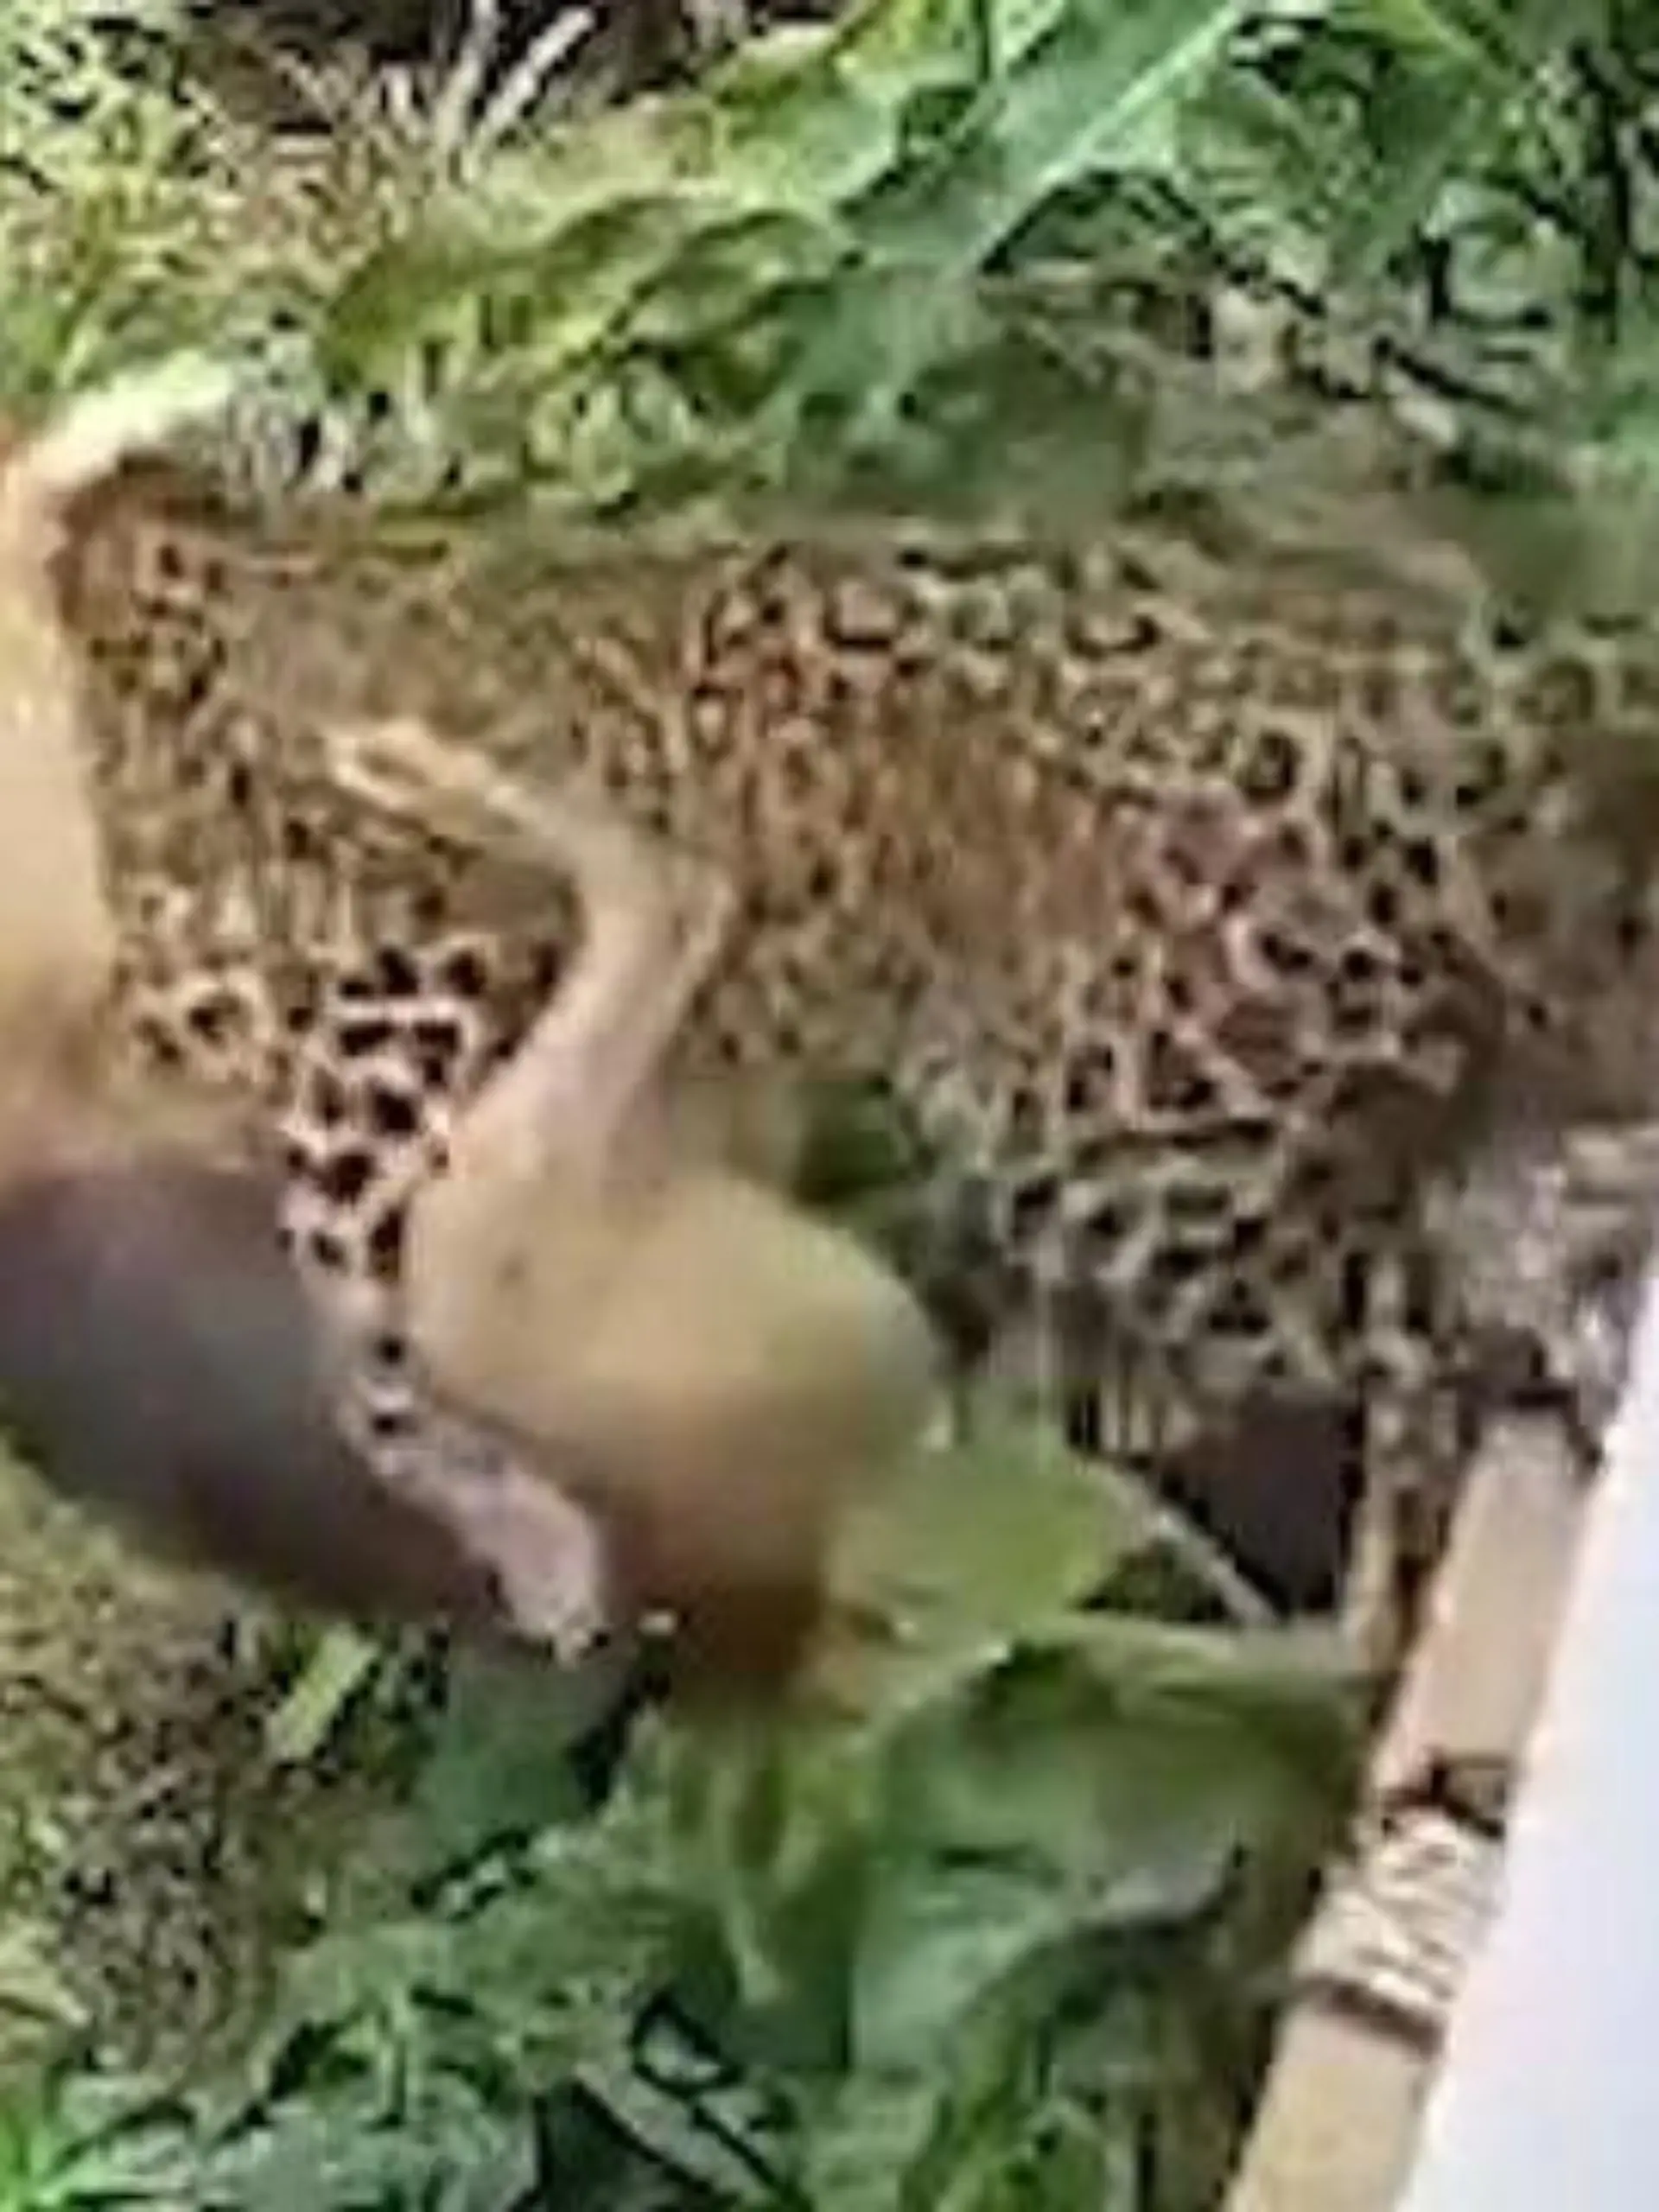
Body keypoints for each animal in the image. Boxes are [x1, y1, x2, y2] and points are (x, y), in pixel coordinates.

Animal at [43, 458, 1659, 1668]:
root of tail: (1442, 691)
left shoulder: (398, 1012)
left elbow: (365, 1327)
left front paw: (520, 1531)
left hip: (1114, 1136)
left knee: (1423, 1341)